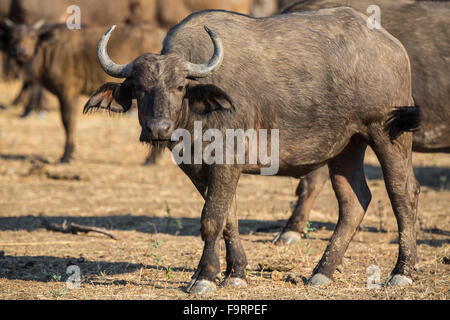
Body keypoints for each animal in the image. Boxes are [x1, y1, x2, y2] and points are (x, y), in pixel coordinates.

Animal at [3, 21, 165, 162]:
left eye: (33, 36)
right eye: (13, 37)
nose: (20, 51)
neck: (50, 50)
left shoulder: (68, 92)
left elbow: (68, 121)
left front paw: (67, 155)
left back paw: (151, 158)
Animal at [84, 7, 422, 292]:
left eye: (179, 87)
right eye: (140, 89)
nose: (158, 129)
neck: (198, 112)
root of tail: (391, 45)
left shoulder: (226, 162)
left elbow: (211, 220)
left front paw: (205, 277)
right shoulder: (200, 169)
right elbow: (228, 220)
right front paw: (235, 274)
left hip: (388, 134)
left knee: (403, 193)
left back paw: (401, 272)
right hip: (346, 147)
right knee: (354, 202)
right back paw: (322, 272)